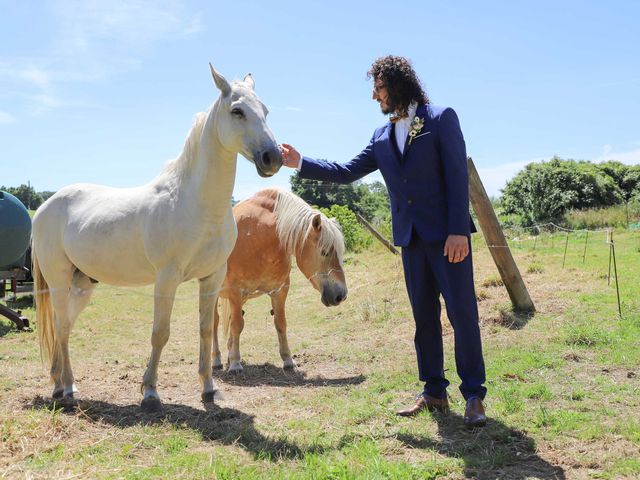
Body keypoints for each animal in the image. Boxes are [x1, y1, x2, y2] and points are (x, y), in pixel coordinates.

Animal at [30, 62, 280, 410]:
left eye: (266, 110)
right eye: (237, 111)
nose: (273, 157)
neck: (195, 203)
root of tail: (45, 206)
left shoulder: (213, 278)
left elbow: (206, 330)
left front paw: (208, 388)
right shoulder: (167, 278)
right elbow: (160, 333)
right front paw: (150, 391)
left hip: (82, 283)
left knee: (62, 325)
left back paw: (60, 383)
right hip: (58, 279)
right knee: (62, 327)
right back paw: (66, 387)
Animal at [214, 188, 344, 372]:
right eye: (325, 252)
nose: (341, 295)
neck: (257, 235)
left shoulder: (280, 291)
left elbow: (280, 323)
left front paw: (288, 360)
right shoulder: (235, 292)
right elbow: (237, 325)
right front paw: (235, 363)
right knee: (214, 323)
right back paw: (216, 359)